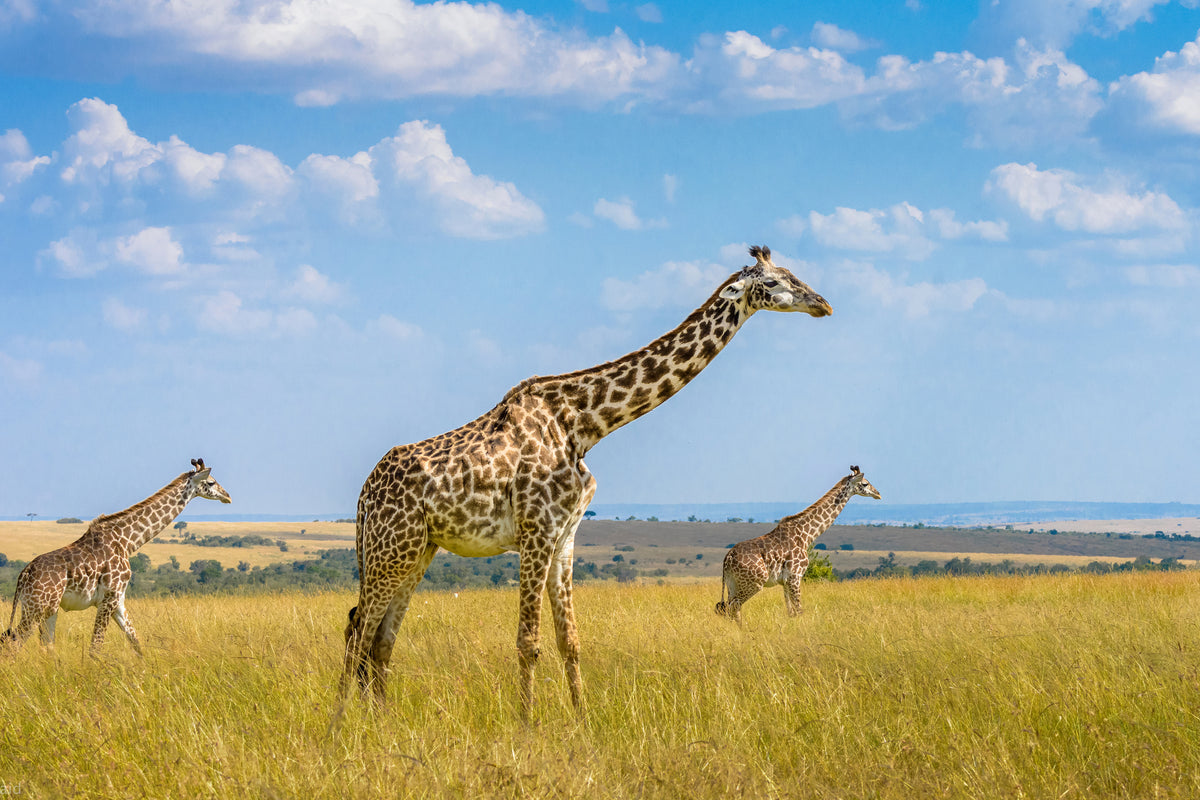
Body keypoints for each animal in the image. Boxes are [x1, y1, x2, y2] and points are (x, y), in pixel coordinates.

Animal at [2, 459, 232, 656]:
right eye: (211, 481)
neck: (128, 542)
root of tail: (24, 574)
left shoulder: (119, 600)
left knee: (45, 647)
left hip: (47, 608)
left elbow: (136, 643)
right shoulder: (109, 598)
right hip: (37, 607)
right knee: (13, 643)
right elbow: (96, 648)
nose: (227, 496)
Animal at [339, 245, 832, 719]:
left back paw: (381, 721)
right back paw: (341, 726)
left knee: (379, 640)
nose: (822, 304)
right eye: (773, 282)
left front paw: (583, 722)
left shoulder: (565, 536)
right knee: (357, 632)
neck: (583, 425)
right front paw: (527, 727)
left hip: (416, 551)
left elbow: (569, 641)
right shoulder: (536, 532)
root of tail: (363, 496)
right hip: (388, 550)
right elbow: (528, 641)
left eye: (794, 274)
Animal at [715, 466, 881, 623]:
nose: (878, 494)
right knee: (734, 606)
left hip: (732, 583)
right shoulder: (795, 576)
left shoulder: (785, 581)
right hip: (755, 582)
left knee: (729, 608)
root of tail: (727, 559)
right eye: (865, 483)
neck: (806, 535)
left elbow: (791, 612)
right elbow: (800, 610)